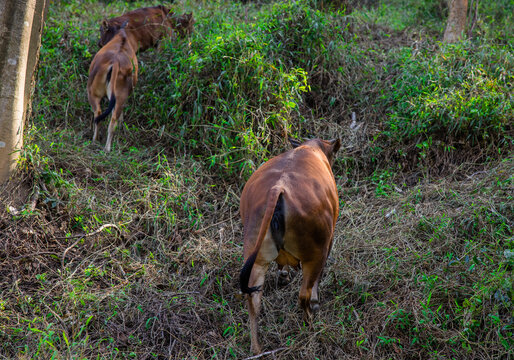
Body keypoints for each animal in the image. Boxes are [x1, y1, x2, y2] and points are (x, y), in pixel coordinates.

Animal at [87, 22, 137, 152]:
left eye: (102, 30)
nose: (99, 43)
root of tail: (115, 63)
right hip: (119, 96)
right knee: (112, 118)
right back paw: (107, 147)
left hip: (92, 93)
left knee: (98, 114)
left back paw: (96, 140)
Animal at [239, 138, 340, 354]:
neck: (311, 147)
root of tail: (278, 189)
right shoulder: (328, 241)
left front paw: (283, 275)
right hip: (315, 253)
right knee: (304, 294)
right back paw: (310, 324)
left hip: (256, 257)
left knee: (253, 300)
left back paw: (256, 348)